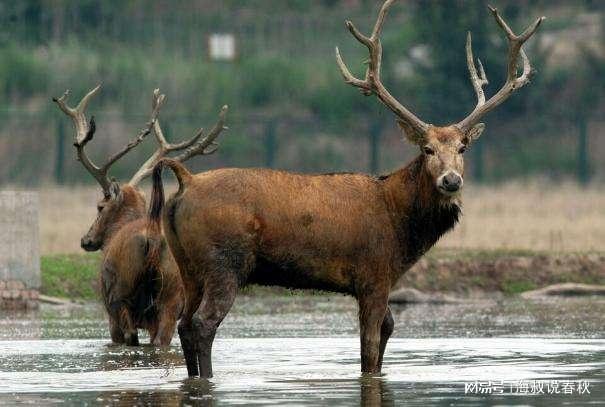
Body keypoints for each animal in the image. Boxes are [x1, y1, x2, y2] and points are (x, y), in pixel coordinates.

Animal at [53, 86, 228, 348]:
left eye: (99, 206)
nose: (86, 240)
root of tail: (153, 236)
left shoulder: (110, 311)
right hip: (172, 296)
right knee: (162, 338)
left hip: (121, 295)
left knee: (133, 336)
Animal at [146, 0, 544, 378]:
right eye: (427, 149)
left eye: (462, 148)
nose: (451, 180)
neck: (401, 225)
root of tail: (185, 179)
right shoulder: (373, 274)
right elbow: (369, 349)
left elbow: (387, 333)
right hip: (224, 261)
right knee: (202, 325)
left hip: (188, 266)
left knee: (183, 325)